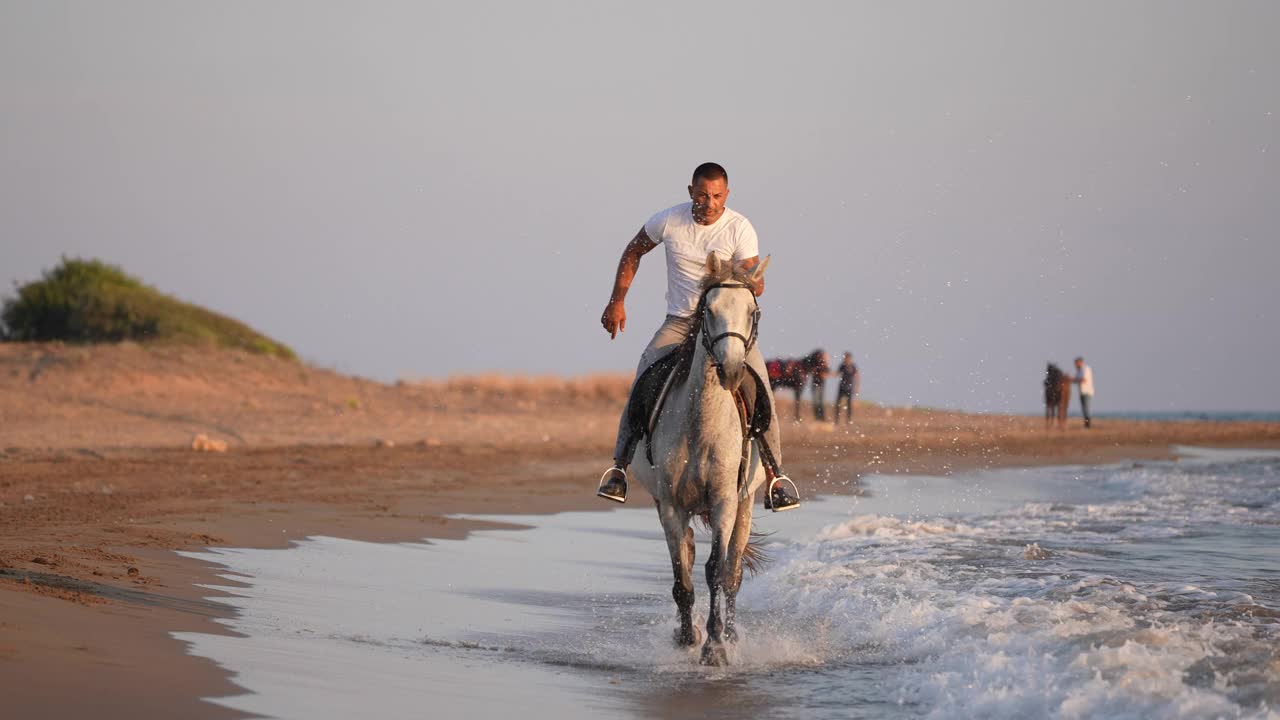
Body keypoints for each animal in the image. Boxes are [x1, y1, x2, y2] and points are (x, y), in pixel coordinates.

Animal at [629, 251, 768, 661]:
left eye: (752, 312)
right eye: (709, 309)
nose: (732, 368)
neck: (701, 424)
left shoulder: (723, 502)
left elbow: (716, 571)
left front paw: (715, 646)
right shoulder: (671, 504)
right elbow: (682, 574)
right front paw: (688, 637)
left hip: (746, 503)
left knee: (734, 572)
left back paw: (732, 635)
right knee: (689, 551)